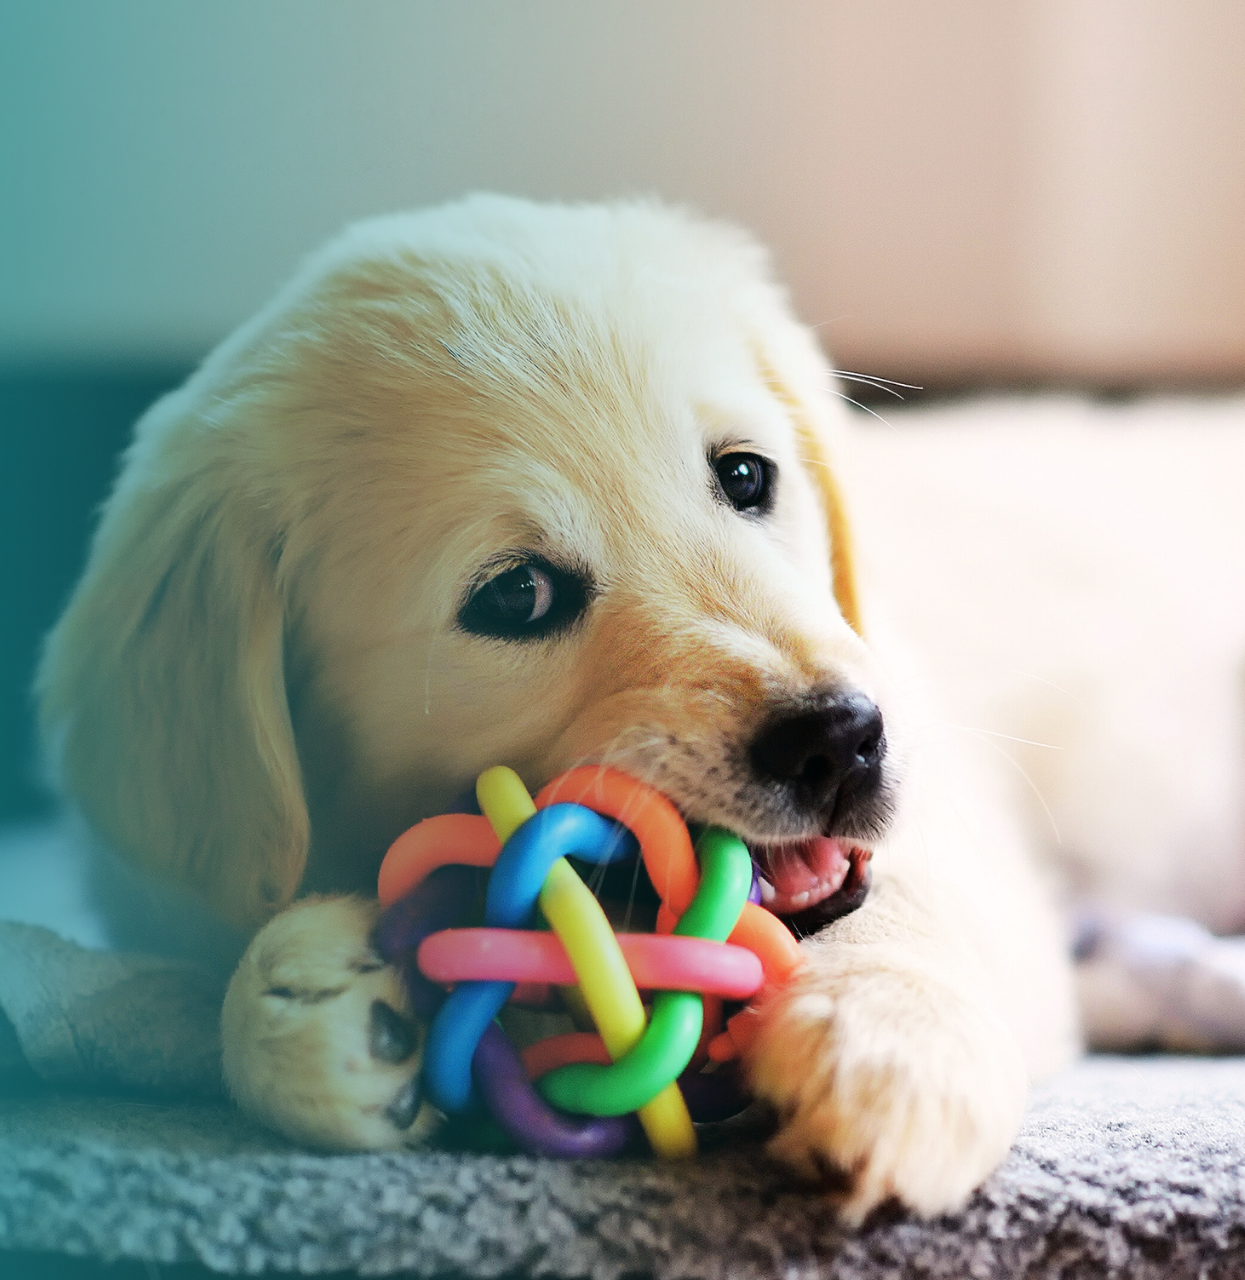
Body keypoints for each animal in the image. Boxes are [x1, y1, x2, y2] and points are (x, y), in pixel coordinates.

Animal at [34, 194, 1074, 1213]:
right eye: (516, 596)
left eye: (745, 475)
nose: (840, 741)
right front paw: (299, 1010)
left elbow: (914, 897)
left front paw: (888, 1039)